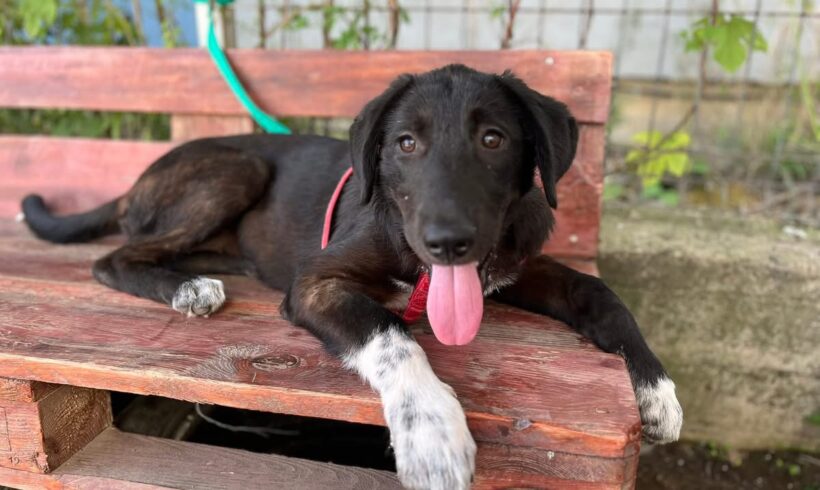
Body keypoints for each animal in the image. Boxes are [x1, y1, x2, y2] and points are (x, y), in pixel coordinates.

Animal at [21, 64, 682, 489]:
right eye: (406, 143)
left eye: (493, 139)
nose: (447, 242)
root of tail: (136, 180)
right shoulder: (315, 283)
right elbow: (390, 332)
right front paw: (431, 430)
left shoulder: (514, 264)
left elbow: (597, 291)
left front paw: (654, 387)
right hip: (236, 168)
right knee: (113, 259)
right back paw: (186, 289)